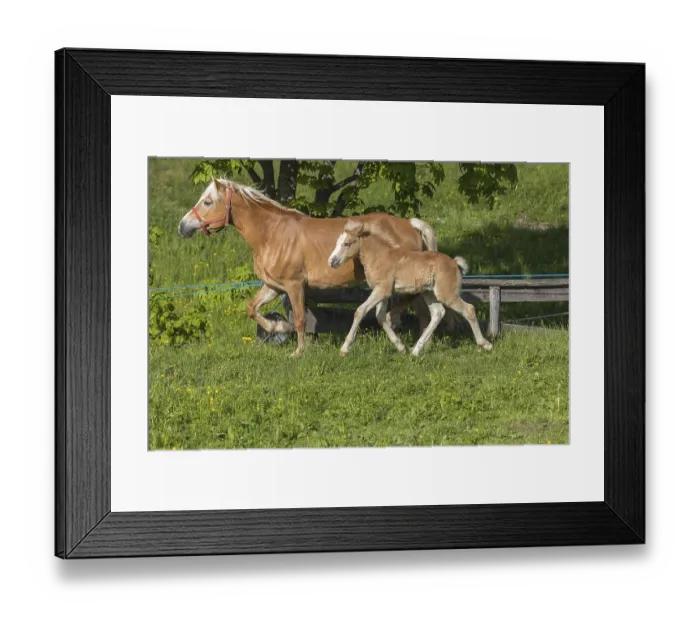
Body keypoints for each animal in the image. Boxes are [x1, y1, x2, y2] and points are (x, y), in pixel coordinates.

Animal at [178, 176, 439, 357]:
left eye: (208, 202)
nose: (182, 226)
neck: (272, 234)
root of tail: (410, 224)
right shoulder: (274, 286)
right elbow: (252, 308)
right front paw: (278, 327)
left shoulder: (294, 286)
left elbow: (301, 319)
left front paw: (298, 352)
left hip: (405, 281)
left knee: (416, 309)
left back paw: (413, 340)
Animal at [328, 220, 493, 357]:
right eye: (337, 242)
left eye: (347, 243)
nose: (332, 261)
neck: (379, 257)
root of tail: (455, 263)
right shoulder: (382, 292)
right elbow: (381, 317)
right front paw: (401, 348)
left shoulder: (382, 290)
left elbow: (360, 311)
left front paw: (344, 349)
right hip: (428, 293)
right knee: (438, 313)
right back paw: (415, 351)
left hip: (446, 294)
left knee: (469, 309)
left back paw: (485, 344)